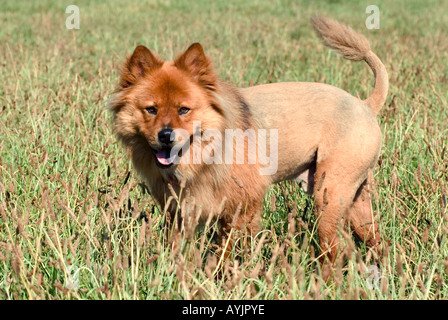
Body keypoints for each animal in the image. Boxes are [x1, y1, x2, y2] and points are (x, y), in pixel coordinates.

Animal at [108, 16, 384, 278]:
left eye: (184, 109)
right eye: (151, 109)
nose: (166, 135)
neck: (204, 155)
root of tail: (365, 104)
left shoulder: (242, 207)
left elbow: (228, 250)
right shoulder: (179, 212)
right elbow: (178, 250)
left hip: (328, 196)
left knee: (336, 251)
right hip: (355, 204)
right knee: (376, 242)